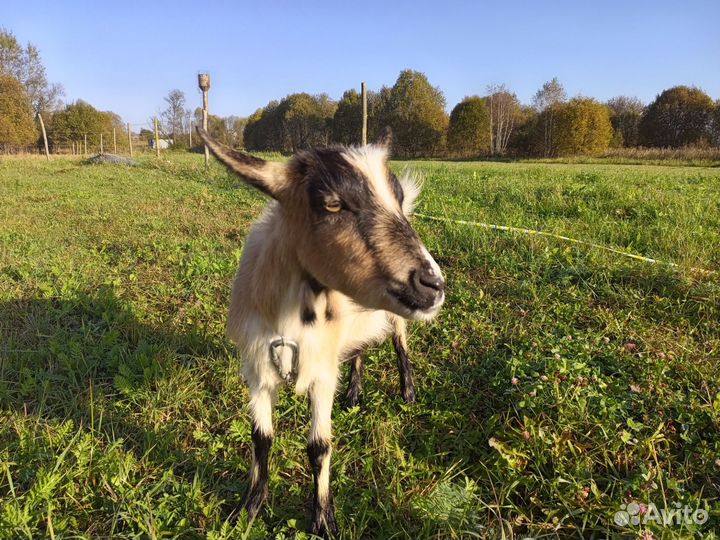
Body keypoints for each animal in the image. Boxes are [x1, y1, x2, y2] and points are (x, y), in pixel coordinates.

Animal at [196, 127, 444, 538]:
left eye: (397, 197)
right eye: (332, 204)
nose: (433, 285)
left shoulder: (321, 373)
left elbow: (319, 446)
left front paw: (324, 520)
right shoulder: (256, 370)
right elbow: (261, 438)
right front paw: (249, 508)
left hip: (395, 318)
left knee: (400, 345)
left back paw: (408, 392)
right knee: (359, 349)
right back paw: (355, 394)